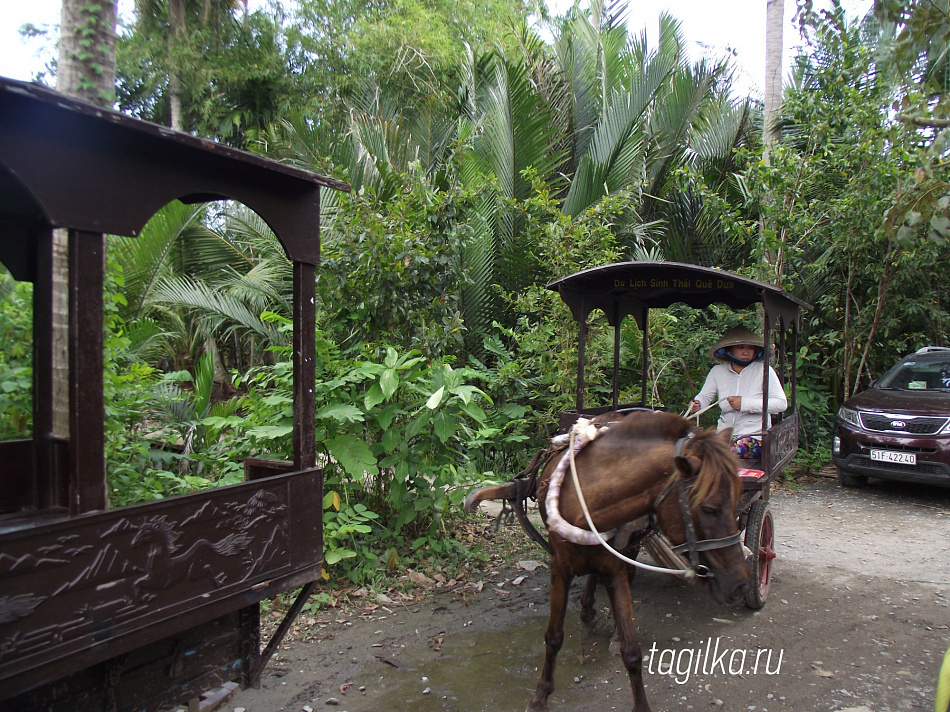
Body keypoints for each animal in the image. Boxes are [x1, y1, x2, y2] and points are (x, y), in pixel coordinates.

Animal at [468, 412, 752, 712]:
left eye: (736, 499)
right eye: (709, 509)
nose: (742, 585)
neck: (587, 504)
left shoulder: (615, 568)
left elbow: (632, 650)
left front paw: (641, 703)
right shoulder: (560, 568)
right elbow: (553, 637)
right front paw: (540, 696)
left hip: (632, 545)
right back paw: (587, 608)